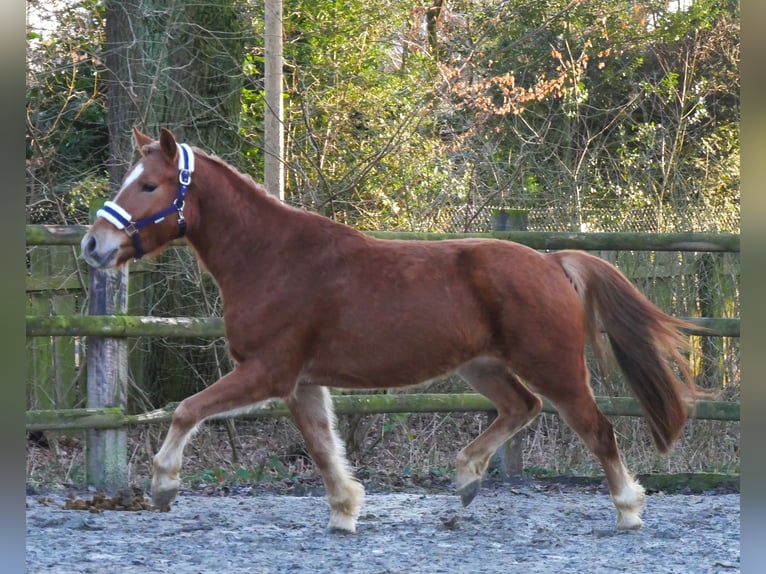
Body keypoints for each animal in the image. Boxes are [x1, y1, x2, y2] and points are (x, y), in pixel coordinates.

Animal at [81, 129, 704, 536]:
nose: (93, 245)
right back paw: (467, 478)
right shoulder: (301, 383)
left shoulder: (267, 372)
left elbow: (187, 409)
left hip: (554, 367)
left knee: (596, 429)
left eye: (150, 186)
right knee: (521, 408)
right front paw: (345, 510)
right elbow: (322, 446)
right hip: (483, 366)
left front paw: (163, 486)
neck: (272, 258)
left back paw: (627, 509)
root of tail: (552, 262)